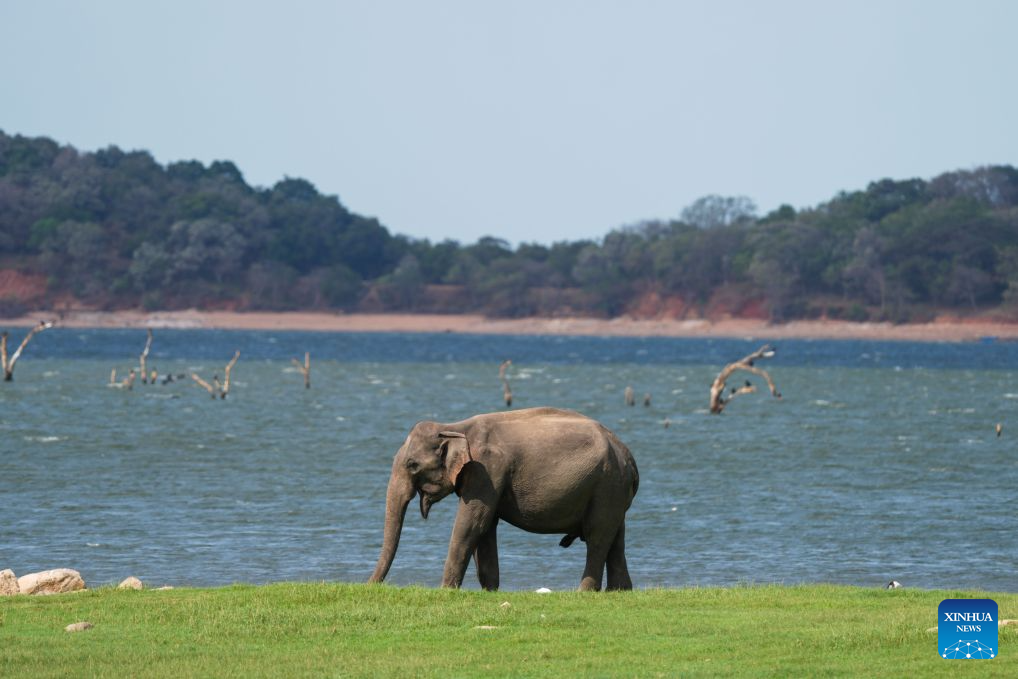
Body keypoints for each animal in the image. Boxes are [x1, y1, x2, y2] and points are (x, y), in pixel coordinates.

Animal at [367, 407, 639, 591]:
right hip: (612, 490)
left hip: (606, 484)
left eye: (412, 465)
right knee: (616, 538)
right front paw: (490, 590)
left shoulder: (486, 470)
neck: (456, 427)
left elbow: (471, 525)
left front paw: (445, 590)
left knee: (597, 537)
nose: (370, 585)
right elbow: (486, 528)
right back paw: (620, 591)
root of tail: (629, 456)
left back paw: (584, 592)